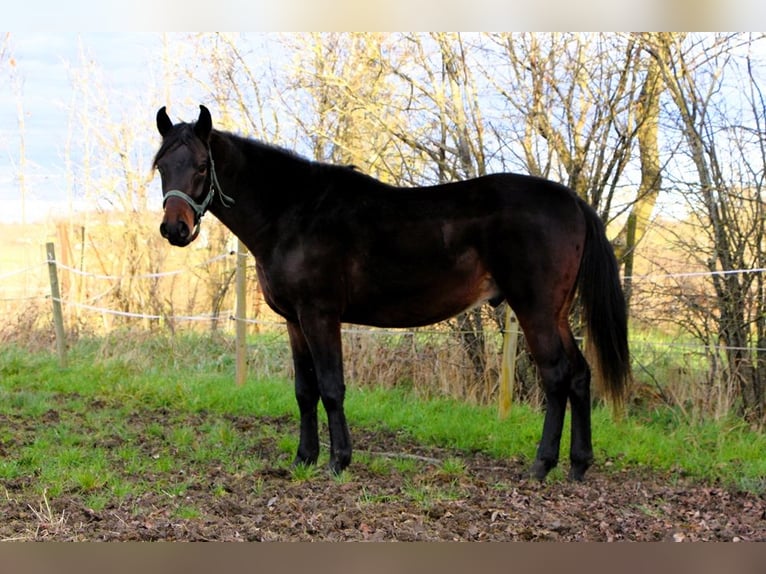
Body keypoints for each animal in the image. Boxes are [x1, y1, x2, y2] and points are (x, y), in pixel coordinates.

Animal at [154, 106, 632, 484]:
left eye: (201, 166)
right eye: (162, 166)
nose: (174, 229)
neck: (294, 212)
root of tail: (572, 200)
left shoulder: (320, 315)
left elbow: (331, 387)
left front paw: (339, 461)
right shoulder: (294, 321)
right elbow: (305, 390)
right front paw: (305, 458)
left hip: (535, 311)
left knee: (557, 377)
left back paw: (541, 465)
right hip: (556, 313)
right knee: (580, 375)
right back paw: (578, 465)